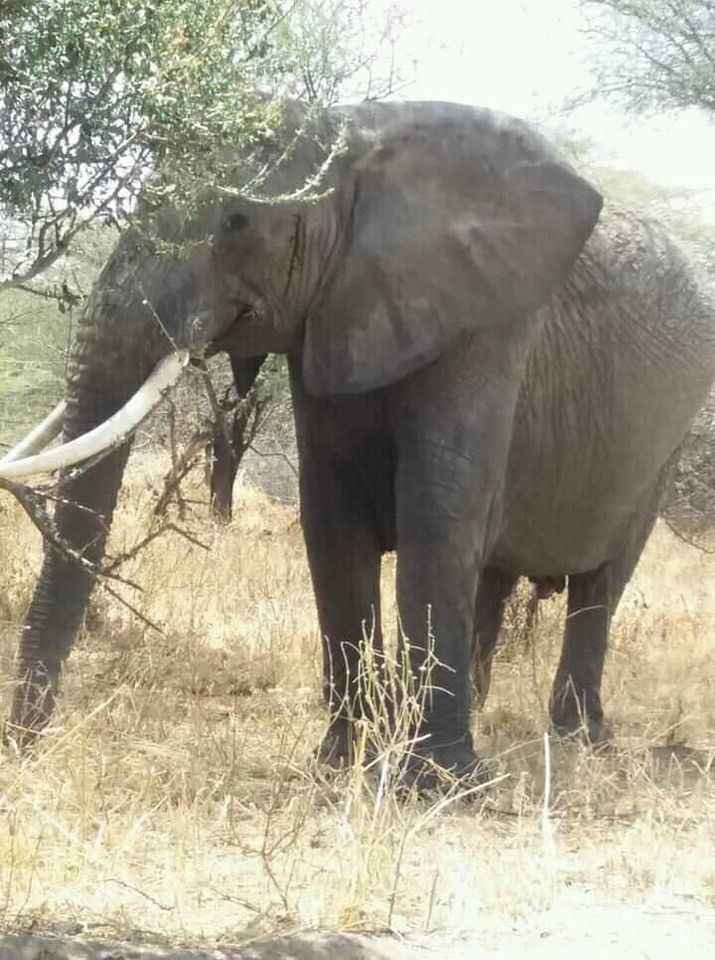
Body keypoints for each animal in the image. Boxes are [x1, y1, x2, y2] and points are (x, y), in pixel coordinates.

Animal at [4, 99, 715, 788]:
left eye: (237, 221)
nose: (23, 750)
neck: (355, 144)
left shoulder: (486, 323)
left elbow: (436, 518)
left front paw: (436, 786)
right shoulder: (331, 313)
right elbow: (332, 526)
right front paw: (342, 767)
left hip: (664, 443)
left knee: (601, 583)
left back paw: (578, 742)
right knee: (492, 574)